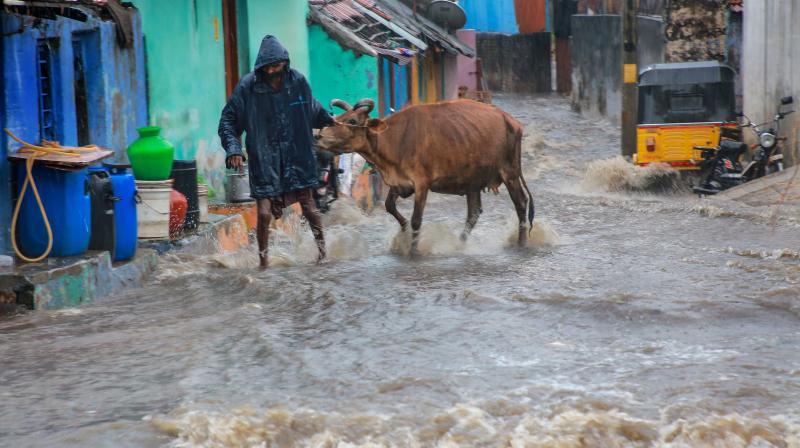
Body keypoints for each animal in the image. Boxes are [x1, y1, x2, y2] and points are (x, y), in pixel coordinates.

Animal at [316, 98, 536, 252]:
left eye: (352, 120)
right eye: (338, 118)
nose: (318, 136)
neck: (394, 139)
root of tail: (510, 120)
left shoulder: (422, 184)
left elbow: (416, 220)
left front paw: (413, 251)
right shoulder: (399, 183)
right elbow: (389, 206)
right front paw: (403, 231)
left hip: (510, 173)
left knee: (520, 203)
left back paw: (521, 243)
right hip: (472, 182)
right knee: (473, 213)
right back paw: (459, 244)